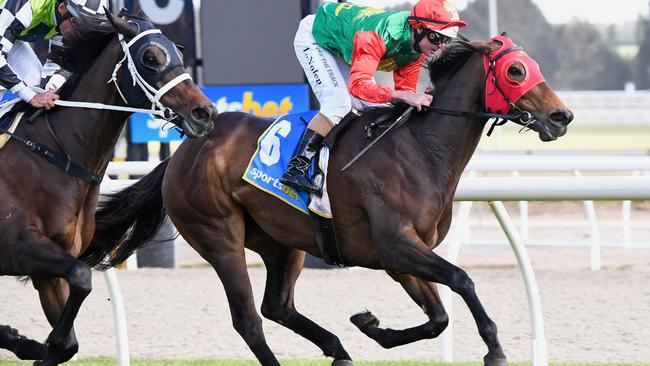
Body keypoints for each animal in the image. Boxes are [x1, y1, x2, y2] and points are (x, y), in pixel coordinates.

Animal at [0, 10, 216, 364]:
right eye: (150, 57)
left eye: (180, 54)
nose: (205, 113)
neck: (54, 155)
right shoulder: (18, 248)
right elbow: (83, 278)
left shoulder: (50, 271)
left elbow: (69, 340)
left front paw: (32, 344)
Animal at [83, 34, 568, 366]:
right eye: (516, 71)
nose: (562, 116)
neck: (420, 149)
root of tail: (184, 150)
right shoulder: (397, 245)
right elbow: (462, 281)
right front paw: (494, 349)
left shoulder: (400, 257)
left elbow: (438, 319)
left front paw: (372, 326)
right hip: (218, 236)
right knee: (249, 320)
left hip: (283, 242)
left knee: (277, 306)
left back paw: (338, 349)